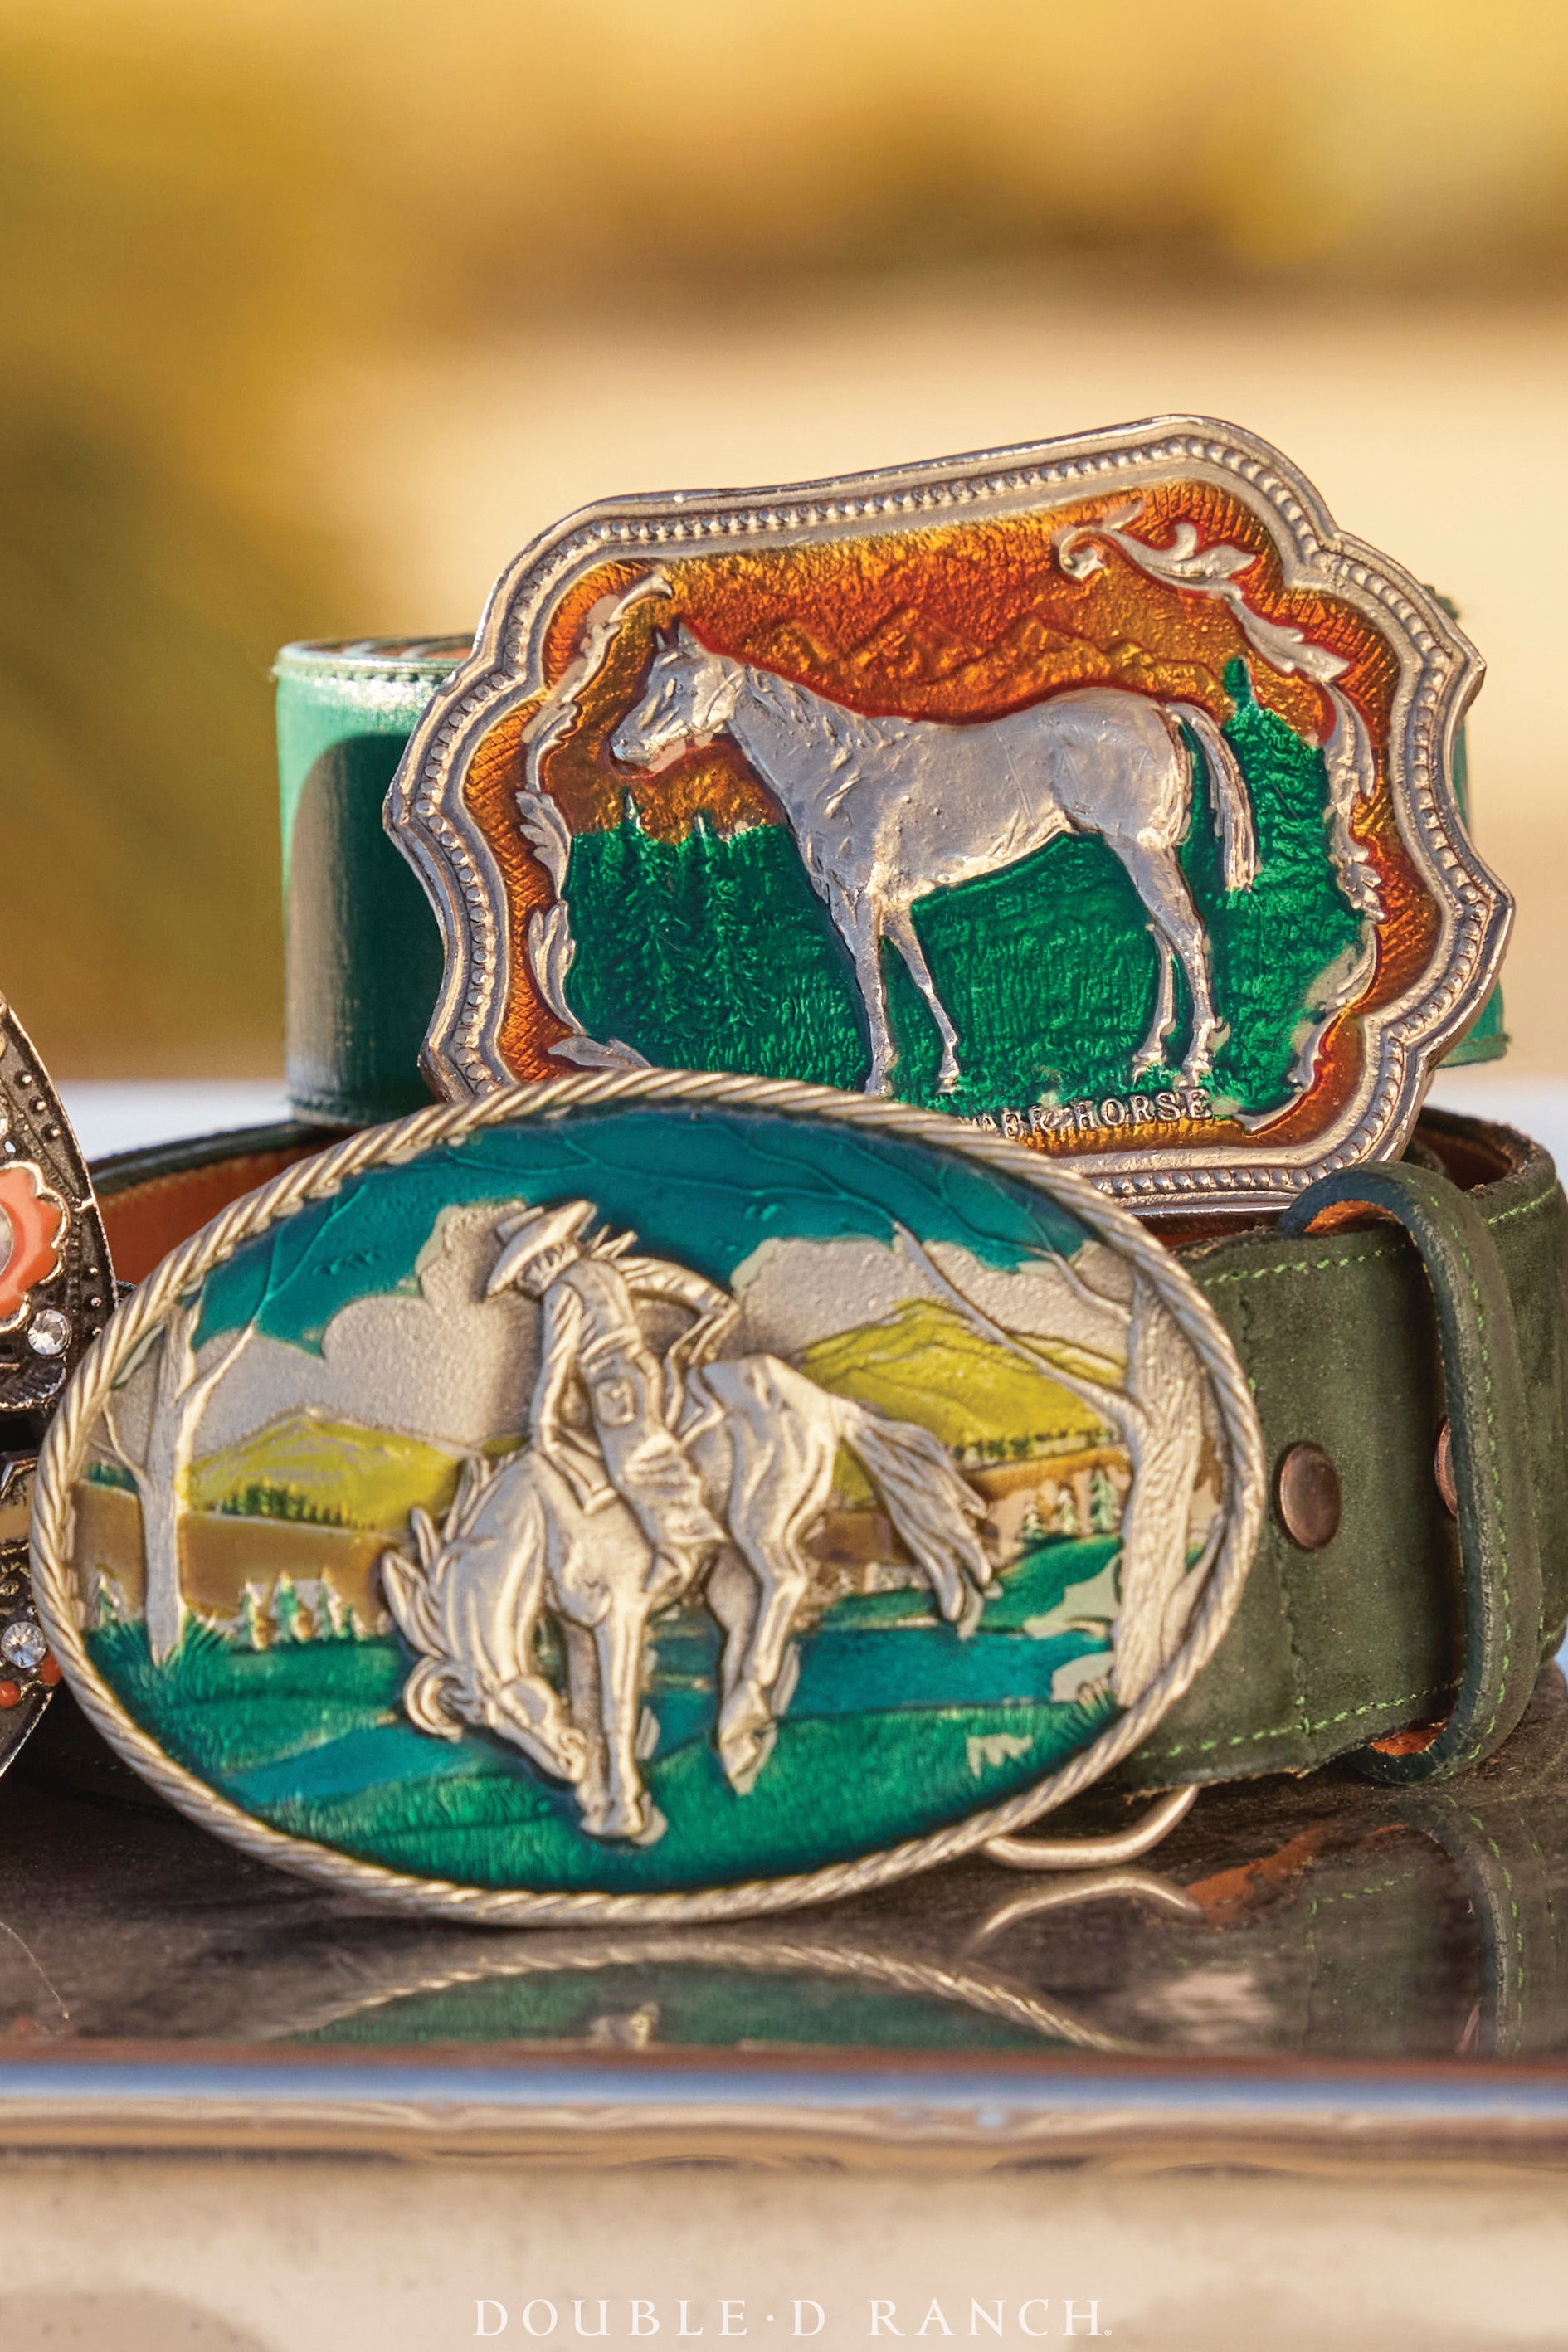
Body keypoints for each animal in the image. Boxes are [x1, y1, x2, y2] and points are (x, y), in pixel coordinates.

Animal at [381, 1352, 991, 1844]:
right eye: (492, 1726)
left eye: (514, 1710)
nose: (565, 1763)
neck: (540, 1519)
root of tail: (826, 1400)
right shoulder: (578, 1629)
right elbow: (588, 1704)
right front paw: (600, 1809)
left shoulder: (624, 1613)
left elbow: (615, 1710)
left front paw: (625, 1814)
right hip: (731, 1564)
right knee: (747, 1613)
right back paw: (740, 1726)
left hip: (759, 1520)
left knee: (787, 1579)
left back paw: (744, 1716)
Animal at [609, 627, 1260, 1096]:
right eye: (650, 681)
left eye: (681, 686)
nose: (621, 746)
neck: (836, 773)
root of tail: (1162, 708)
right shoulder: (894, 903)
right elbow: (921, 975)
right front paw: (947, 1069)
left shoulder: (855, 902)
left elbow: (871, 984)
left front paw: (879, 1080)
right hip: (1142, 852)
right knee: (1164, 935)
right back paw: (1147, 1055)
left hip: (1141, 851)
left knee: (1186, 933)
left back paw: (1193, 1063)